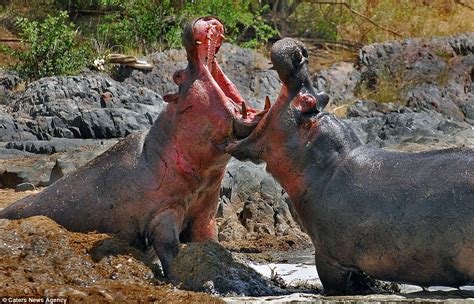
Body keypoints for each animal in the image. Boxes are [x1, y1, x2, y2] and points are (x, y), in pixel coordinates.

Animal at [0, 17, 262, 278]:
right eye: (177, 75)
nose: (205, 19)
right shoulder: (163, 216)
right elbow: (170, 251)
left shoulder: (204, 213)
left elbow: (210, 242)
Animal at [227, 36, 474, 294]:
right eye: (324, 97)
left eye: (307, 100)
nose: (300, 54)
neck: (327, 167)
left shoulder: (329, 258)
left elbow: (333, 283)